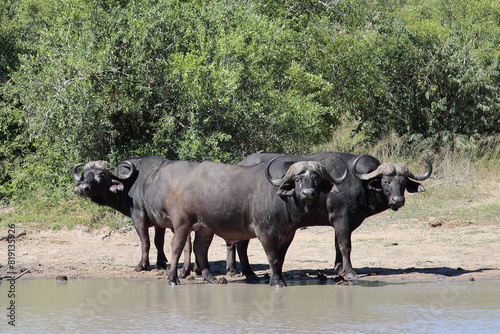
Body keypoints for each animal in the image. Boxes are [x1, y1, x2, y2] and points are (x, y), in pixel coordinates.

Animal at [73, 155, 201, 276]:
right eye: (84, 175)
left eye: (101, 174)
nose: (83, 188)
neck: (129, 184)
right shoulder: (159, 221)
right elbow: (158, 241)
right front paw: (161, 263)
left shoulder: (138, 218)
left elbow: (145, 241)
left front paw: (142, 265)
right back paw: (195, 269)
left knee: (187, 241)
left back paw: (186, 270)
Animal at [166, 157, 346, 288]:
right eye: (297, 180)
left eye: (316, 179)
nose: (308, 193)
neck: (282, 201)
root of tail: (183, 180)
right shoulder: (265, 233)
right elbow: (273, 258)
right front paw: (277, 282)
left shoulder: (289, 234)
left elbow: (281, 259)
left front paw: (279, 279)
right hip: (183, 223)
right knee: (176, 246)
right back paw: (173, 278)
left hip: (205, 227)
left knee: (200, 248)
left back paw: (210, 278)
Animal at [229, 153, 432, 280]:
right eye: (385, 181)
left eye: (403, 182)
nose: (398, 200)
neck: (359, 183)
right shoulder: (342, 218)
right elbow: (345, 245)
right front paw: (350, 271)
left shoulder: (340, 221)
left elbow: (337, 245)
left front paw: (339, 268)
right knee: (239, 244)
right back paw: (242, 272)